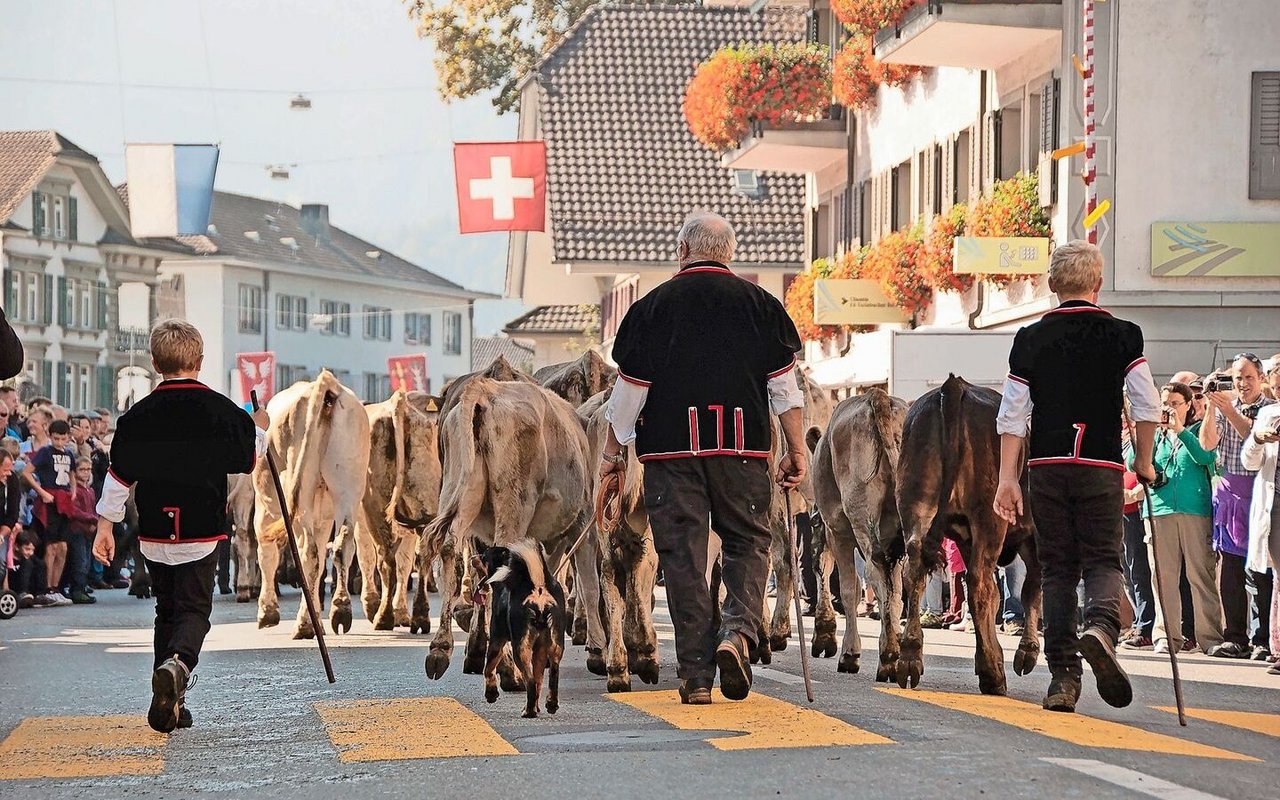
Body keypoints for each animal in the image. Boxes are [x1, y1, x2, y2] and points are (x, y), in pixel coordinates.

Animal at [252, 371, 368, 640]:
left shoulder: (265, 508)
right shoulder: (323, 518)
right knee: (342, 546)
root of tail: (327, 387)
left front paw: (267, 612)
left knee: (309, 554)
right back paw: (340, 610)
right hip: (349, 485)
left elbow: (266, 554)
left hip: (299, 494)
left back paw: (304, 624)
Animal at [476, 537, 565, 716]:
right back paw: (549, 705)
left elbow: (488, 669)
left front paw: (491, 694)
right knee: (550, 676)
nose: (473, 558)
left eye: (483, 556)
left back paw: (529, 711)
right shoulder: (539, 649)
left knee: (530, 681)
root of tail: (537, 589)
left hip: (520, 649)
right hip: (554, 647)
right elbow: (539, 681)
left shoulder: (496, 642)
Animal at [808, 389, 911, 675]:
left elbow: (848, 587)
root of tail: (879, 397)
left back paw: (887, 655)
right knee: (897, 584)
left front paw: (847, 652)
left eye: (814, 524)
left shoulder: (837, 530)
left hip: (860, 512)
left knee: (876, 575)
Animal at [890, 373, 1039, 691]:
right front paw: (1026, 653)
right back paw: (994, 674)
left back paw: (910, 658)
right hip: (989, 520)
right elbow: (1031, 588)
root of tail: (954, 386)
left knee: (915, 573)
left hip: (915, 508)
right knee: (981, 585)